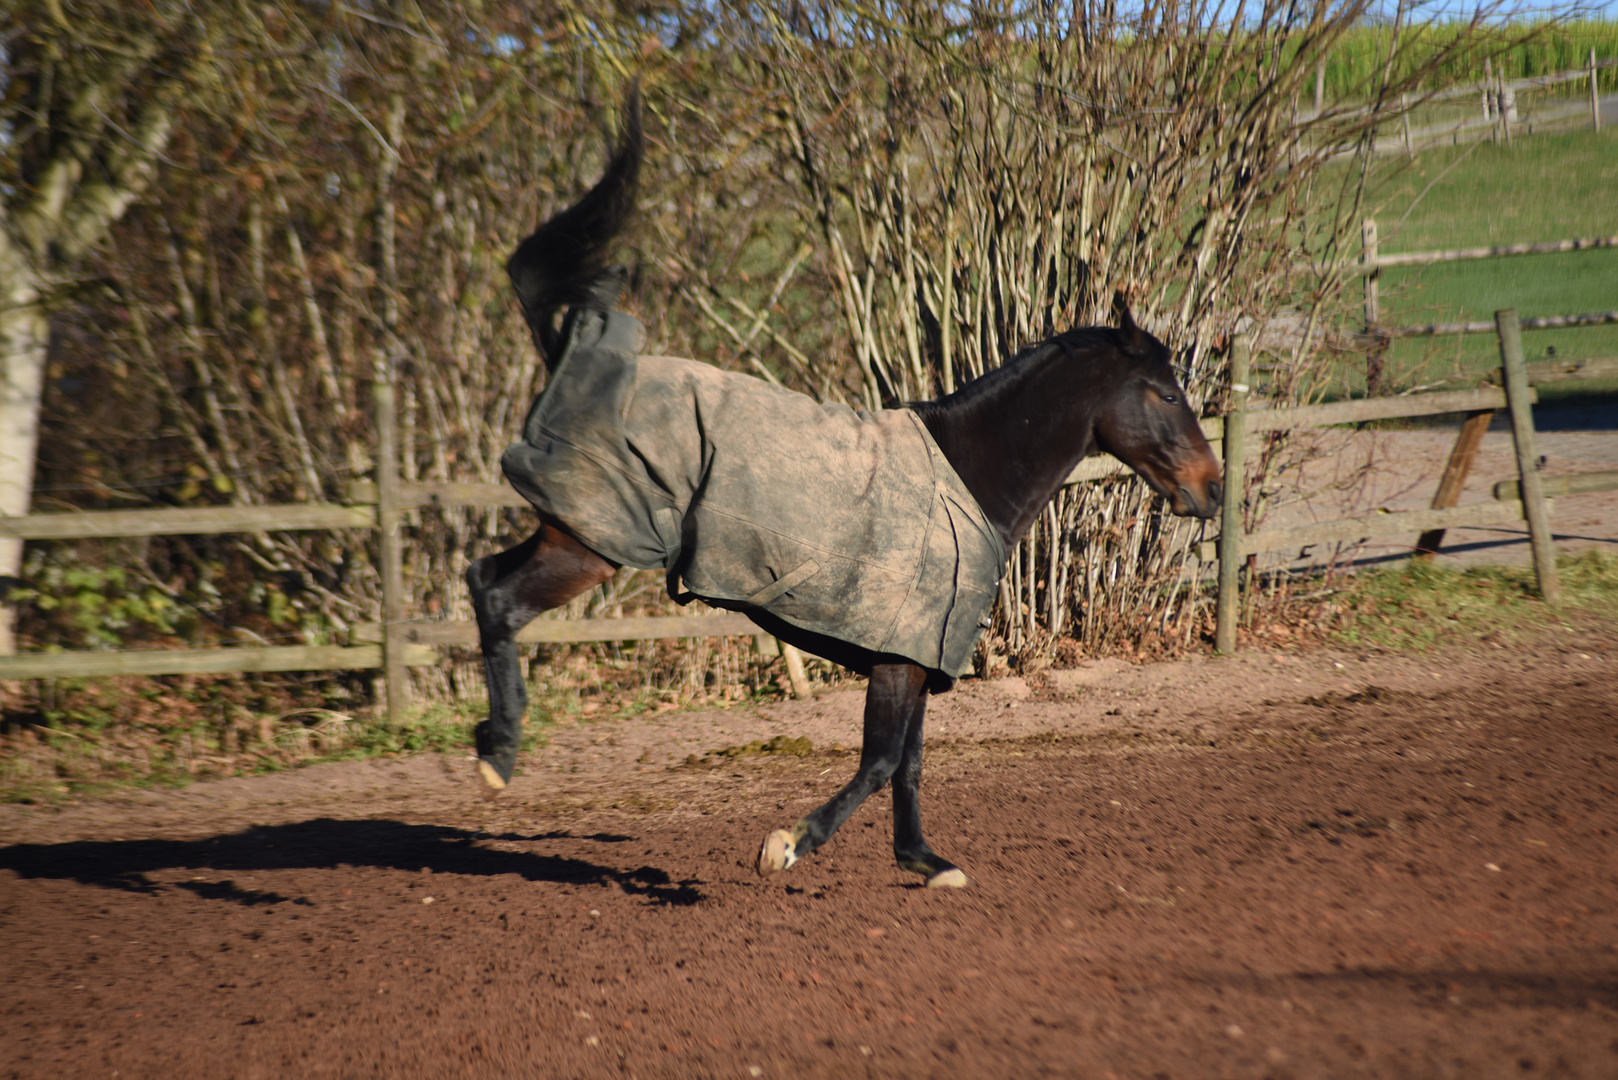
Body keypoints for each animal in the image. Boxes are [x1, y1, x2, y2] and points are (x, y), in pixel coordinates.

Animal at [462, 95, 1216, 887]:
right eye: (1167, 393)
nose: (1211, 486)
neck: (968, 474)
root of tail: (579, 356)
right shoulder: (899, 656)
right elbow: (881, 761)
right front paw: (788, 844)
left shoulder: (918, 654)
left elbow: (910, 763)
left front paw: (925, 862)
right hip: (592, 541)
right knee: (500, 599)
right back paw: (500, 756)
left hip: (572, 534)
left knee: (482, 578)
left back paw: (490, 741)